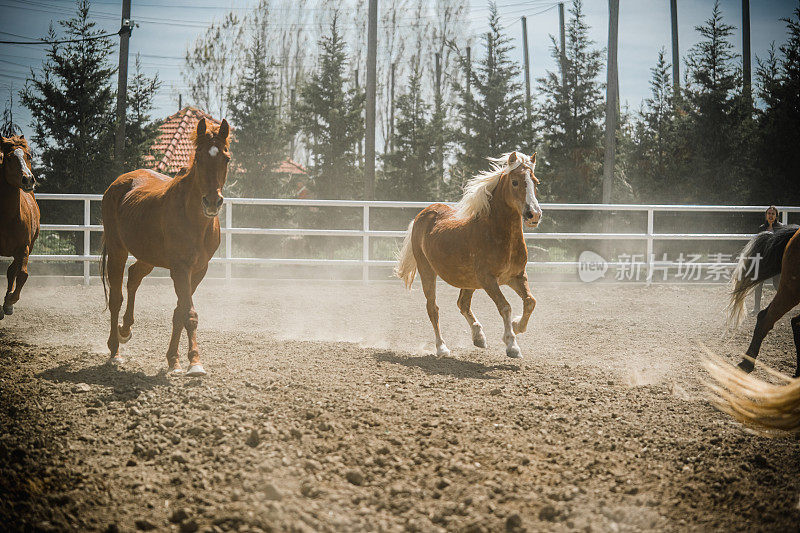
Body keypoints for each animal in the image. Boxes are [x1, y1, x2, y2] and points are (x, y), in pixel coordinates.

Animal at [101, 118, 230, 376]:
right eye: (198, 158)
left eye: (226, 158)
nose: (212, 202)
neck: (193, 218)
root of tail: (119, 183)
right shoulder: (180, 269)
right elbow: (189, 313)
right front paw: (195, 363)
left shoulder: (198, 270)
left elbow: (179, 312)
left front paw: (174, 361)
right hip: (117, 251)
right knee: (116, 298)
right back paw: (115, 352)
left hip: (147, 257)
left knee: (134, 277)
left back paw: (125, 329)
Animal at [396, 150, 544, 358]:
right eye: (515, 182)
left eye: (535, 182)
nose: (534, 215)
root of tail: (422, 215)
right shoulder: (488, 279)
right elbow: (505, 306)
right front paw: (512, 344)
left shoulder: (516, 276)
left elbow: (530, 301)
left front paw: (517, 326)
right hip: (427, 271)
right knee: (433, 308)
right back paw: (442, 348)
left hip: (468, 281)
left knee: (462, 304)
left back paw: (478, 337)